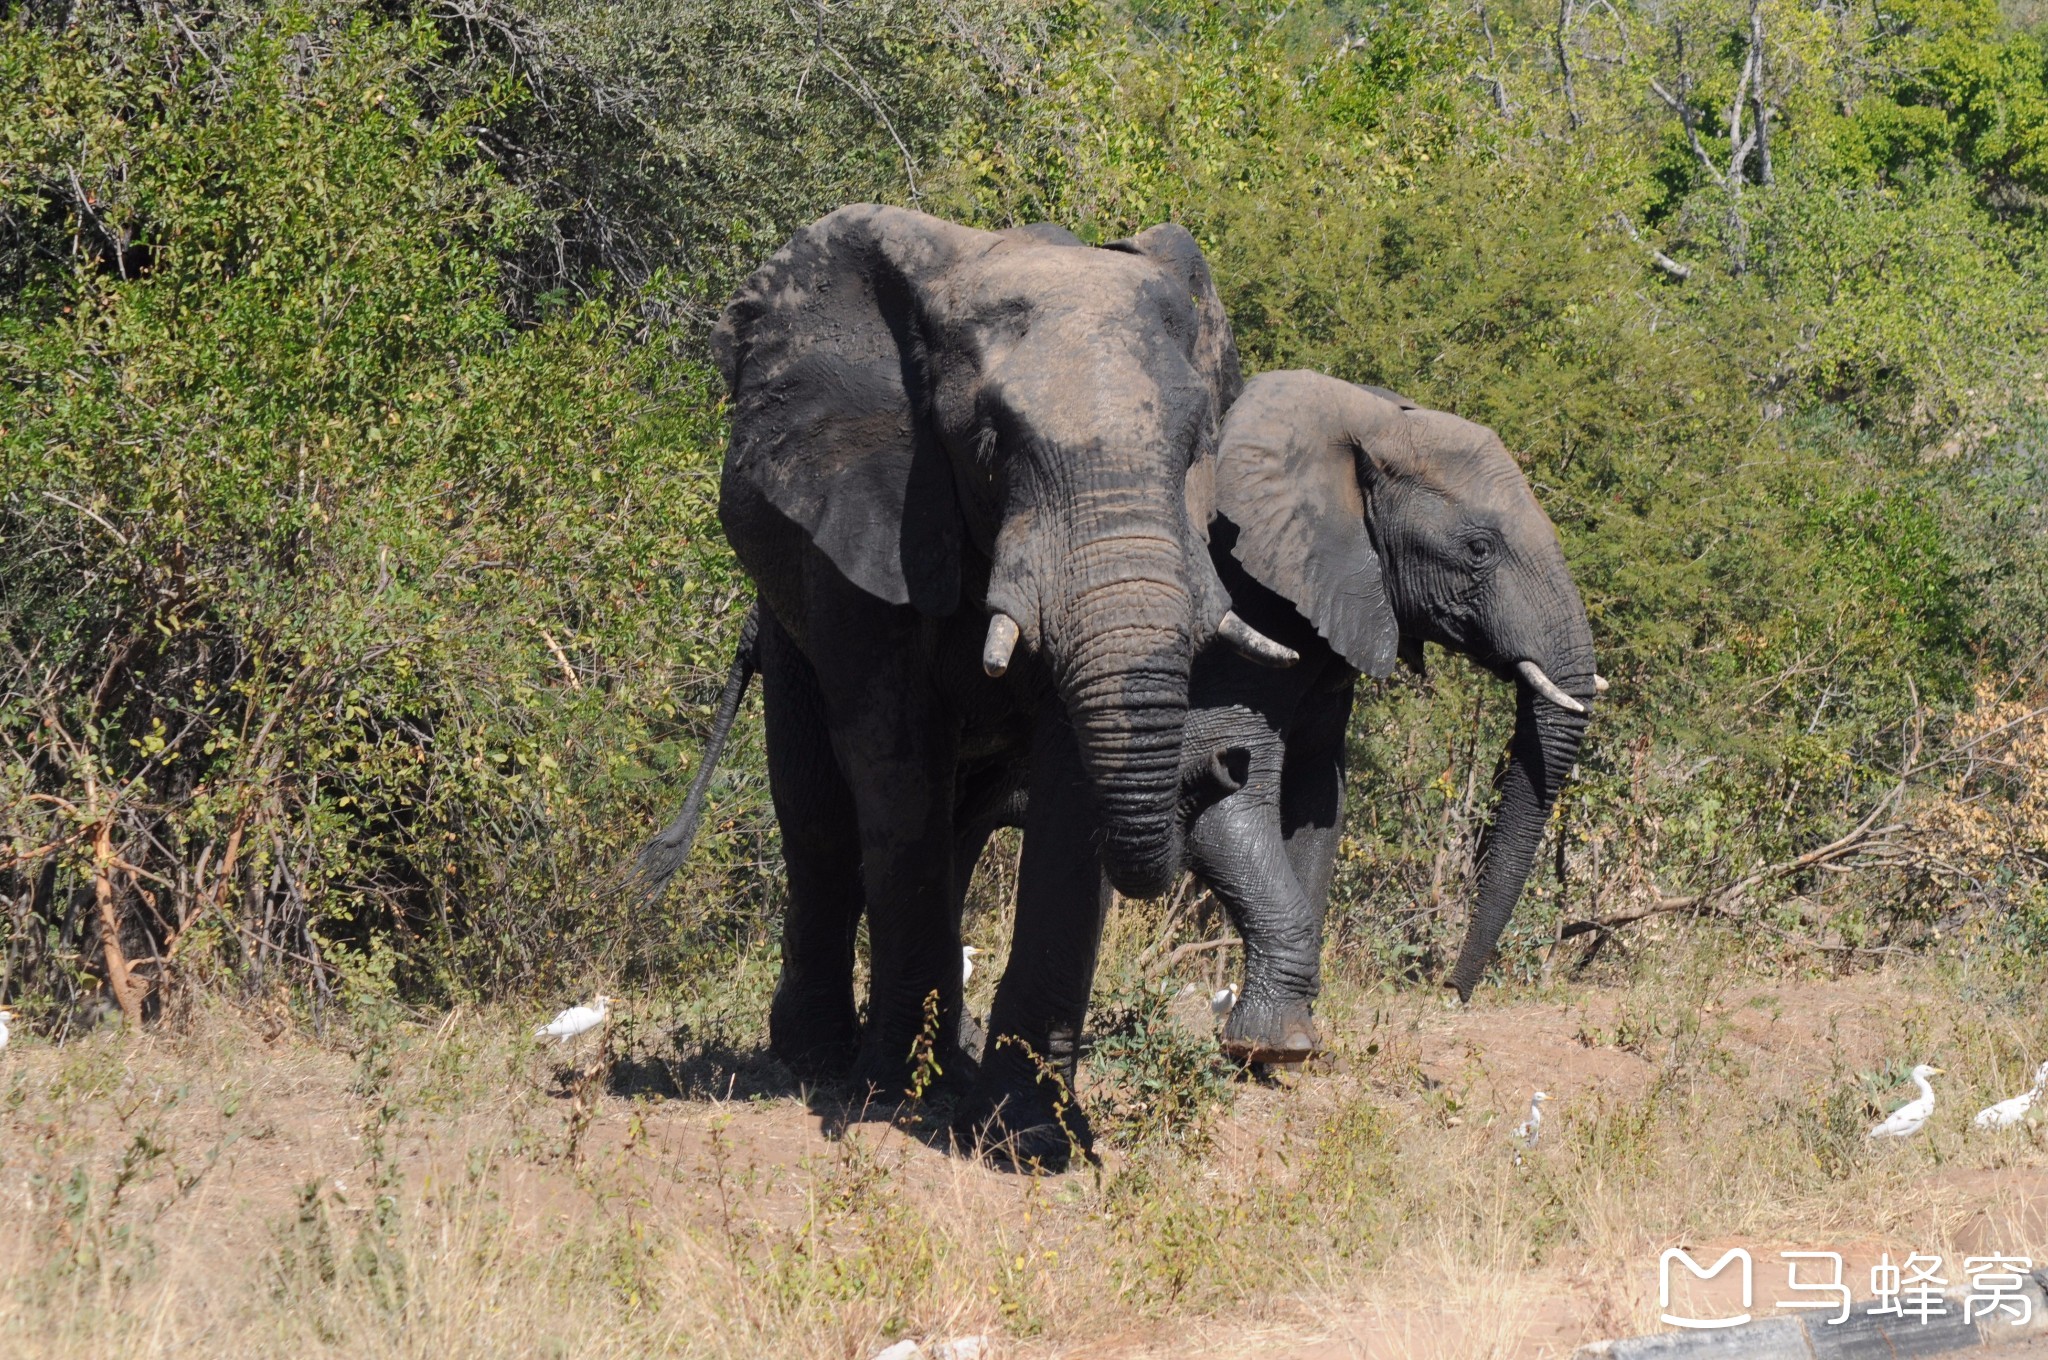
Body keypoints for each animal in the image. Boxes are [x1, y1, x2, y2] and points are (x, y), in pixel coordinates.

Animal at [647, 204, 1294, 1171]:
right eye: (993, 447)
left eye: (1196, 449)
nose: (1226, 762)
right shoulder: (869, 530)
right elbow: (893, 760)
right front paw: (896, 1097)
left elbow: (1069, 791)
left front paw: (1029, 1137)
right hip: (786, 614)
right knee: (819, 816)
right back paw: (819, 1059)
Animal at [1171, 368, 1597, 1065]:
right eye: (1479, 549)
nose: (1452, 991)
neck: (1363, 425)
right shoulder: (1247, 600)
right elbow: (1229, 786)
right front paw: (1276, 1047)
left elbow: (1317, 797)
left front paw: (1295, 1036)